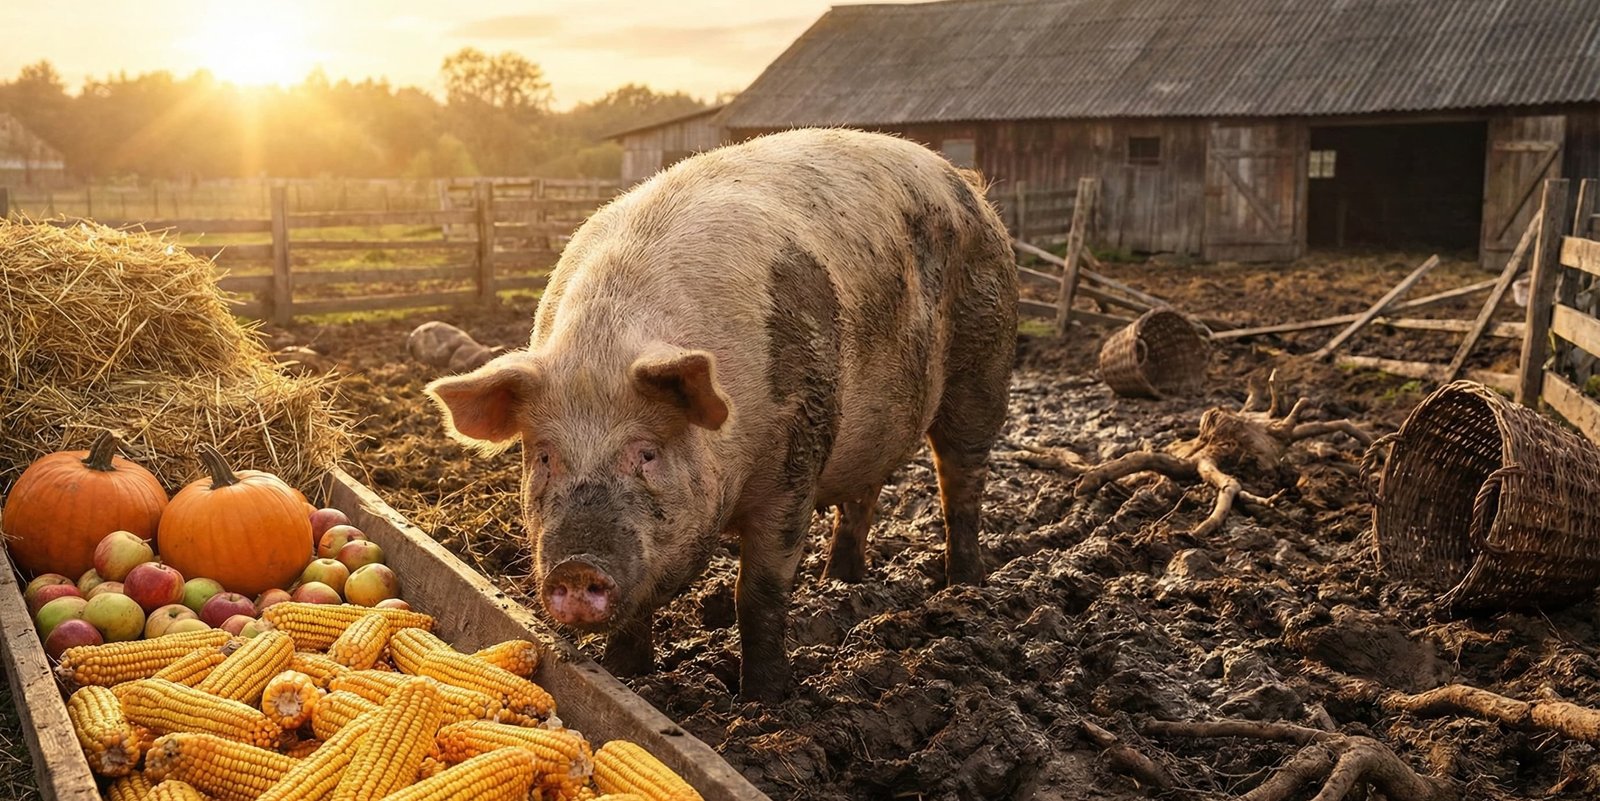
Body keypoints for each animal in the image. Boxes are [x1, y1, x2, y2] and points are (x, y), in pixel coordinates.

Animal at [424, 127, 1017, 700]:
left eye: (647, 453)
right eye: (544, 456)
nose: (576, 567)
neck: (608, 345)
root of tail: (964, 184)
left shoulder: (796, 462)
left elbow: (757, 594)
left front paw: (765, 701)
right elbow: (635, 616)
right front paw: (626, 675)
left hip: (984, 367)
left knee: (961, 481)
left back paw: (964, 586)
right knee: (862, 497)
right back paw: (842, 582)